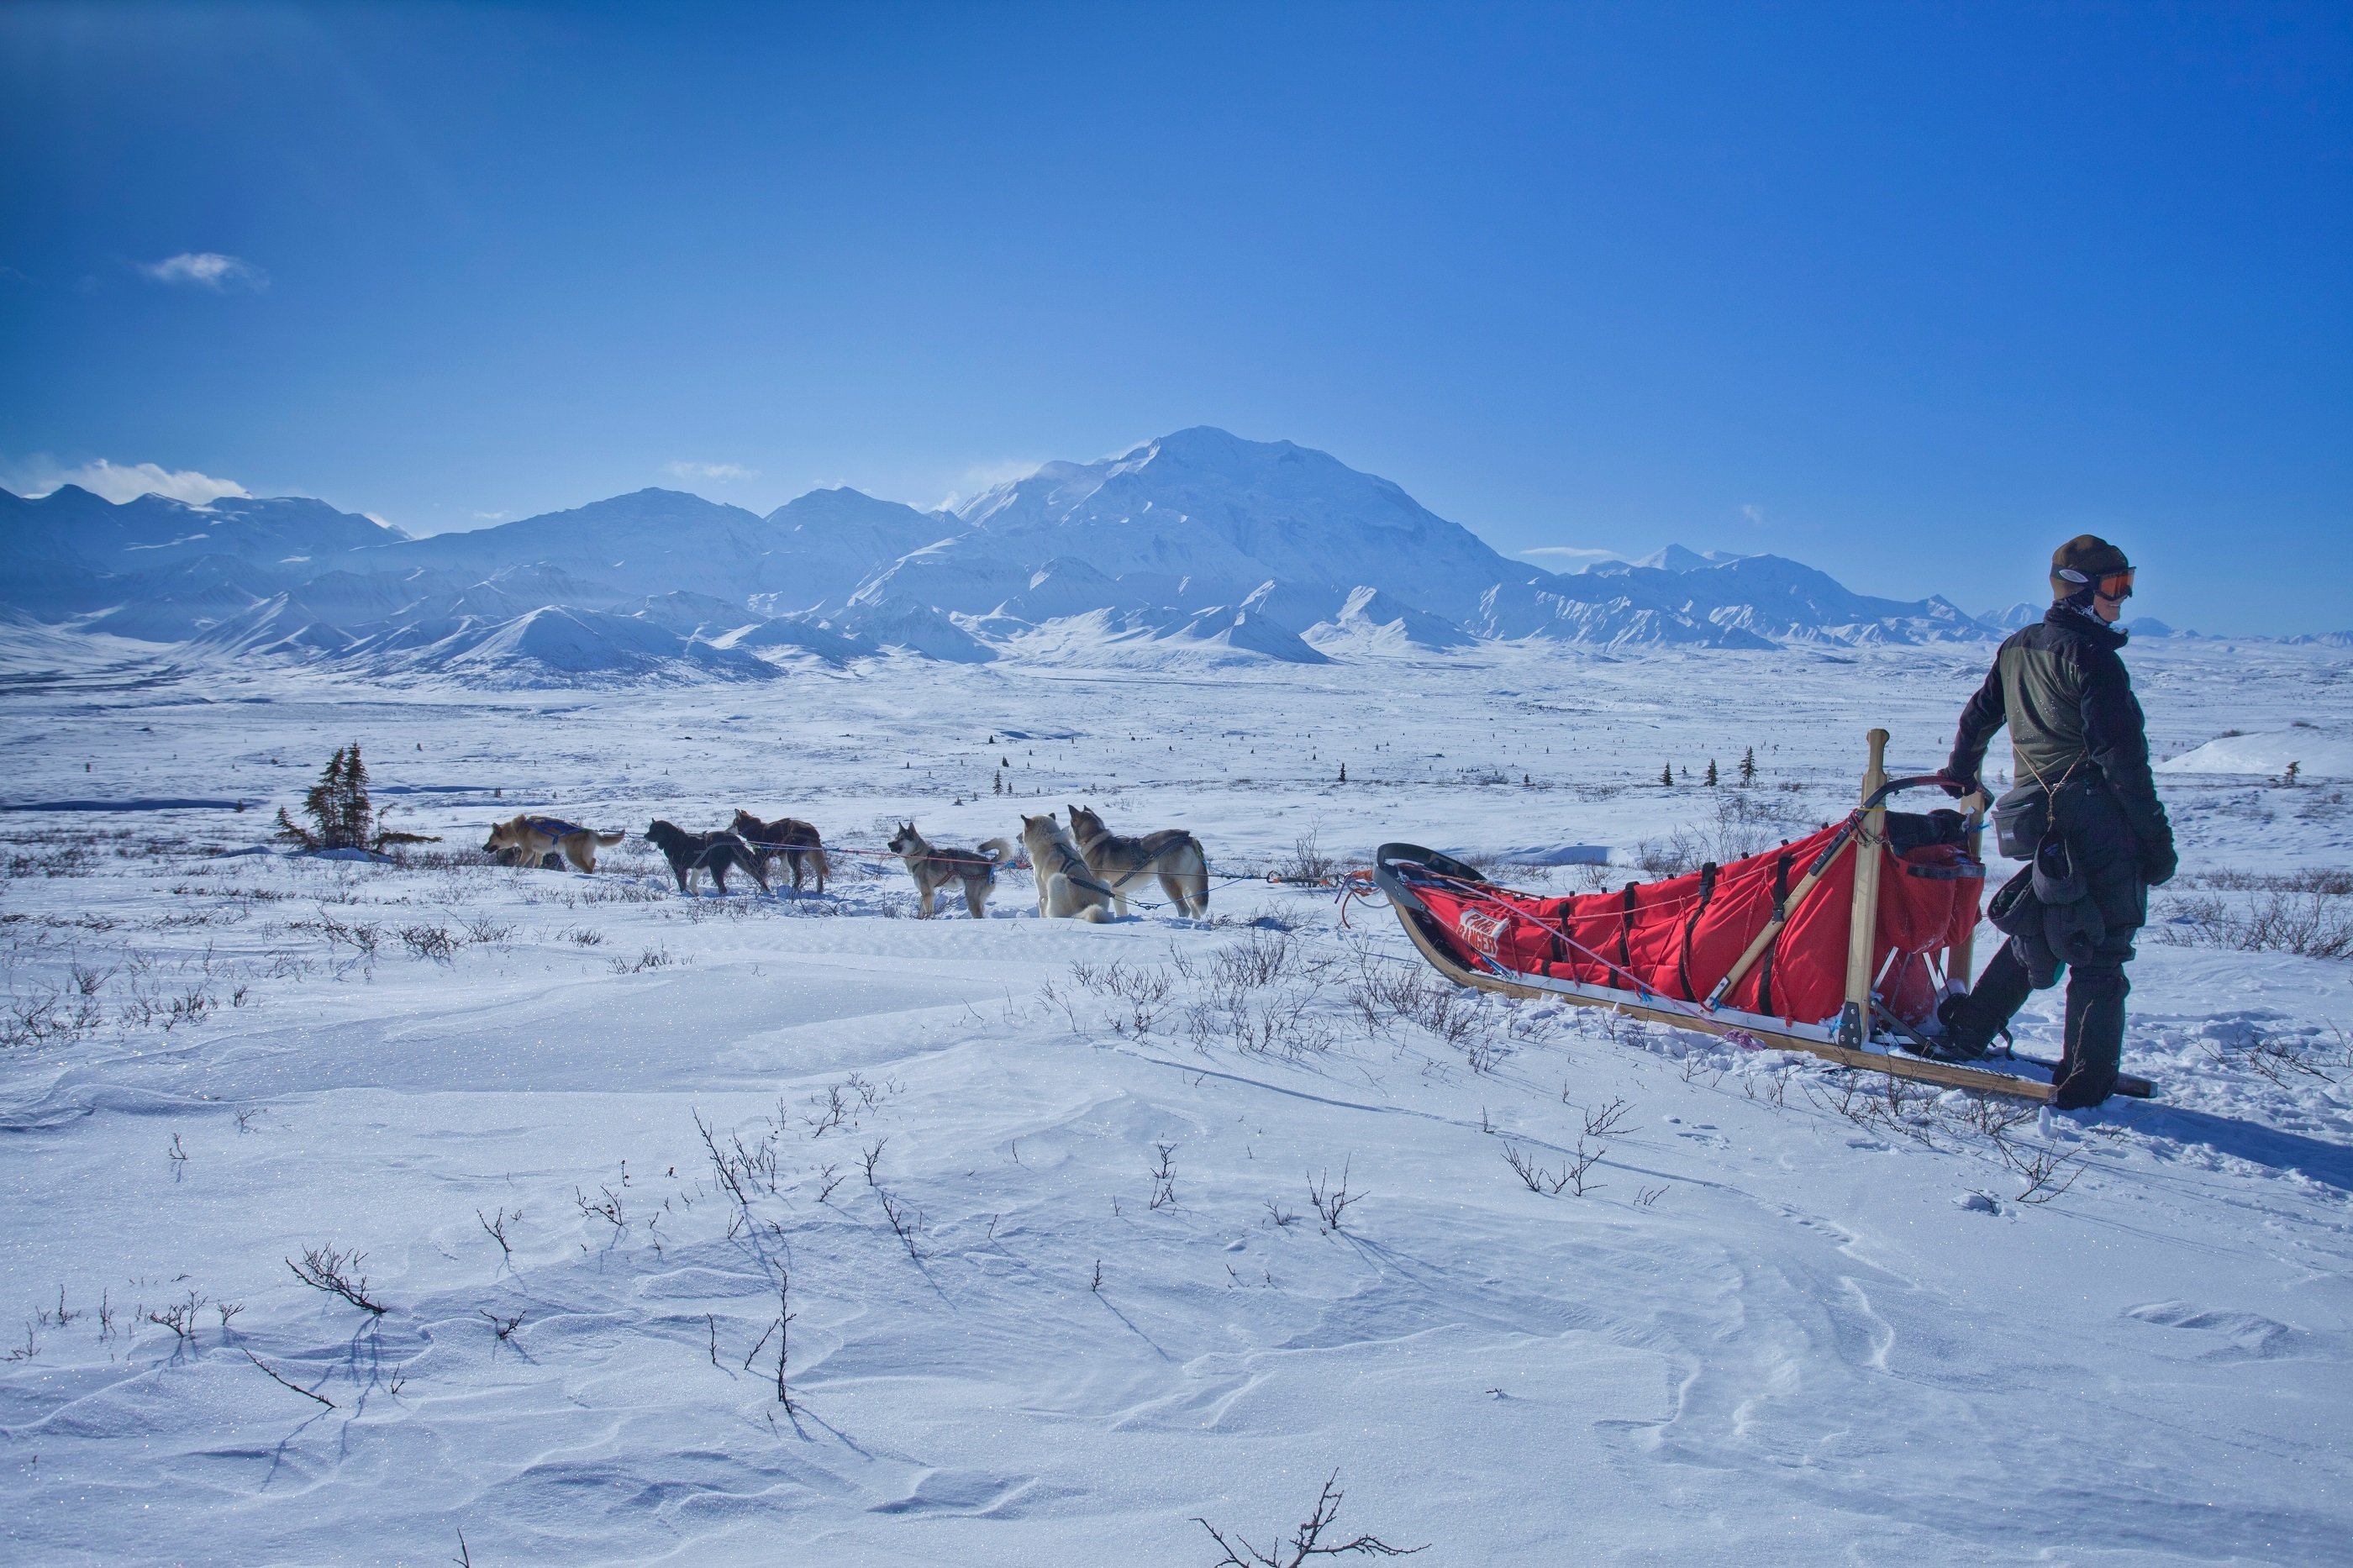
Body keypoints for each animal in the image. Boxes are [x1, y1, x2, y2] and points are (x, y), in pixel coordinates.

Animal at [482, 809, 625, 871]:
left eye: (490, 839)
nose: (483, 848)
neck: (517, 828)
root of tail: (588, 831)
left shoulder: (528, 851)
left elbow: (520, 863)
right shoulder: (539, 852)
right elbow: (536, 864)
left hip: (572, 856)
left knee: (589, 868)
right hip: (583, 854)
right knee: (593, 861)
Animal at [884, 819, 1012, 918]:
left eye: (901, 839)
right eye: (895, 837)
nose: (889, 843)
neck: (920, 856)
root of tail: (989, 863)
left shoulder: (928, 894)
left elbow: (929, 913)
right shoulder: (927, 893)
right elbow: (922, 912)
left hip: (971, 898)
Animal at [1016, 809, 1115, 923]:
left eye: (1023, 830)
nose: (1017, 837)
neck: (1051, 840)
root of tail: (1084, 906)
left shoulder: (1042, 893)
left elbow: (1041, 907)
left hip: (1054, 880)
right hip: (1103, 883)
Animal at [1072, 800, 1213, 908]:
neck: (1094, 837)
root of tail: (1187, 837)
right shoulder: (1117, 891)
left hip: (1167, 879)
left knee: (1184, 909)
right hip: (1189, 882)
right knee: (1194, 908)